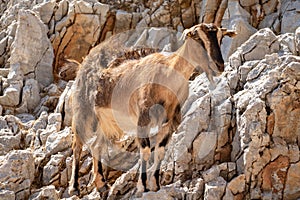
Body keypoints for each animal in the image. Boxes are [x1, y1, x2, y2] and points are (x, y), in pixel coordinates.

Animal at [68, 23, 237, 195]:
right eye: (197, 37)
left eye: (221, 38)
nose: (219, 66)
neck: (167, 76)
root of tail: (84, 63)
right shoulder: (143, 118)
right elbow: (146, 151)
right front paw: (143, 186)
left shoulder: (168, 122)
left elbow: (160, 152)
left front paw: (155, 185)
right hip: (84, 111)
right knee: (77, 145)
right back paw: (74, 187)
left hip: (108, 121)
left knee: (97, 145)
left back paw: (101, 183)